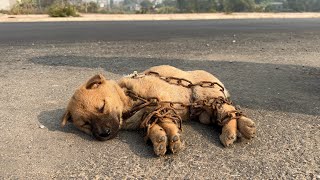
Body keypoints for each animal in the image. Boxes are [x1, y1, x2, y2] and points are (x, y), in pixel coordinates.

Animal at [61, 65, 256, 156]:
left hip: (206, 94)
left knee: (228, 110)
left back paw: (234, 131)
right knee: (224, 114)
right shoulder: (150, 114)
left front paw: (172, 138)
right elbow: (156, 126)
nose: (104, 134)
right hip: (204, 113)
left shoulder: (161, 102)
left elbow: (167, 122)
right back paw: (240, 128)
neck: (129, 98)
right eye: (86, 124)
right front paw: (161, 140)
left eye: (101, 107)